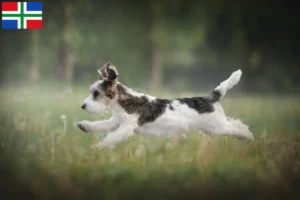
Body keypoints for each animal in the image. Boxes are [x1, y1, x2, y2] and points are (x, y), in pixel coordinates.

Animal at [77, 62, 253, 148]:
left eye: (96, 93)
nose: (83, 106)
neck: (125, 101)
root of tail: (211, 98)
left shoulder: (127, 126)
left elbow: (112, 137)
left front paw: (99, 147)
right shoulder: (116, 121)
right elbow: (100, 125)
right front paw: (84, 126)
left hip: (217, 127)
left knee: (237, 127)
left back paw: (248, 136)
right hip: (213, 127)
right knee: (237, 123)